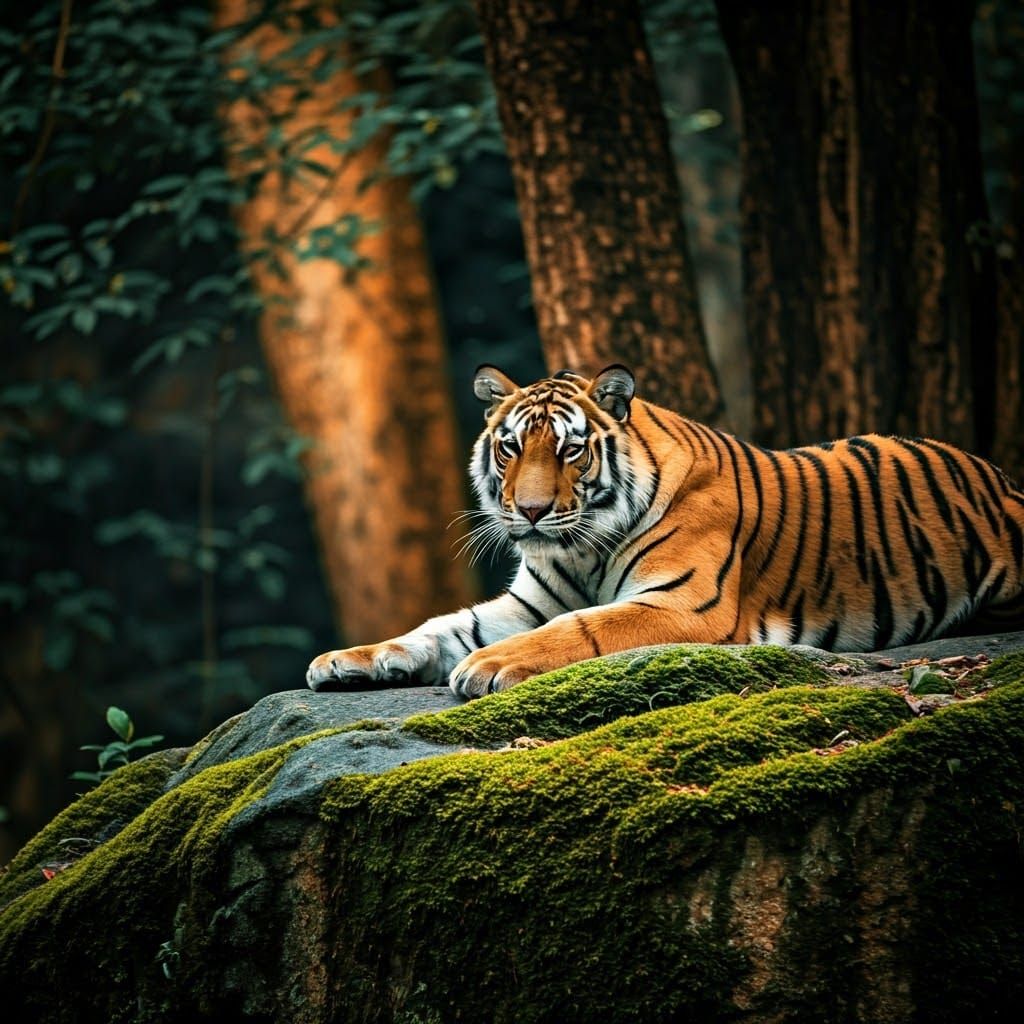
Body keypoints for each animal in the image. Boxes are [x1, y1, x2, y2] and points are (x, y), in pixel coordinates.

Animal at [307, 364, 1024, 699]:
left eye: (569, 451)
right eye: (510, 448)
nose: (530, 512)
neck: (580, 548)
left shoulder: (685, 603)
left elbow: (580, 628)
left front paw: (489, 666)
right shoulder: (523, 605)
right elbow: (436, 628)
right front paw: (346, 661)